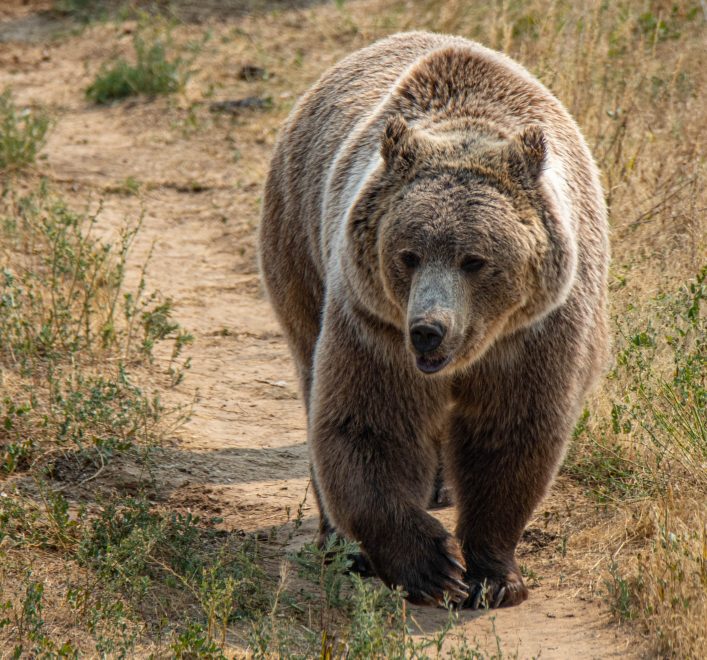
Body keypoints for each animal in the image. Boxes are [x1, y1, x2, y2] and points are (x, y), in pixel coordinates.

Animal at [258, 31, 609, 609]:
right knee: (311, 374)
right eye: (408, 255)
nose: (427, 329)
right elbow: (368, 424)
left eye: (475, 260)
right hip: (300, 245)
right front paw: (431, 567)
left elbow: (511, 433)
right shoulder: (374, 324)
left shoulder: (537, 331)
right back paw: (341, 544)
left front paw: (494, 575)